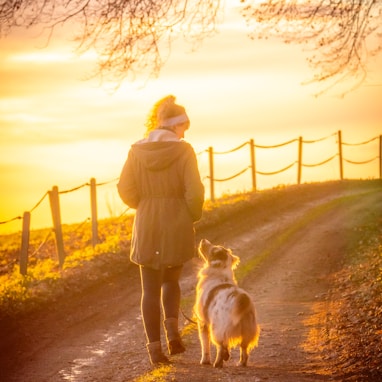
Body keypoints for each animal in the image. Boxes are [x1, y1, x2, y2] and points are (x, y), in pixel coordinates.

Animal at [194, 239, 260, 368]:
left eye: (213, 249)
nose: (203, 240)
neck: (219, 274)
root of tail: (241, 297)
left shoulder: (202, 322)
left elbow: (205, 344)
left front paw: (205, 361)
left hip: (217, 328)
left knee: (221, 346)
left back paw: (218, 363)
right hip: (247, 330)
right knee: (244, 349)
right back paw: (240, 363)